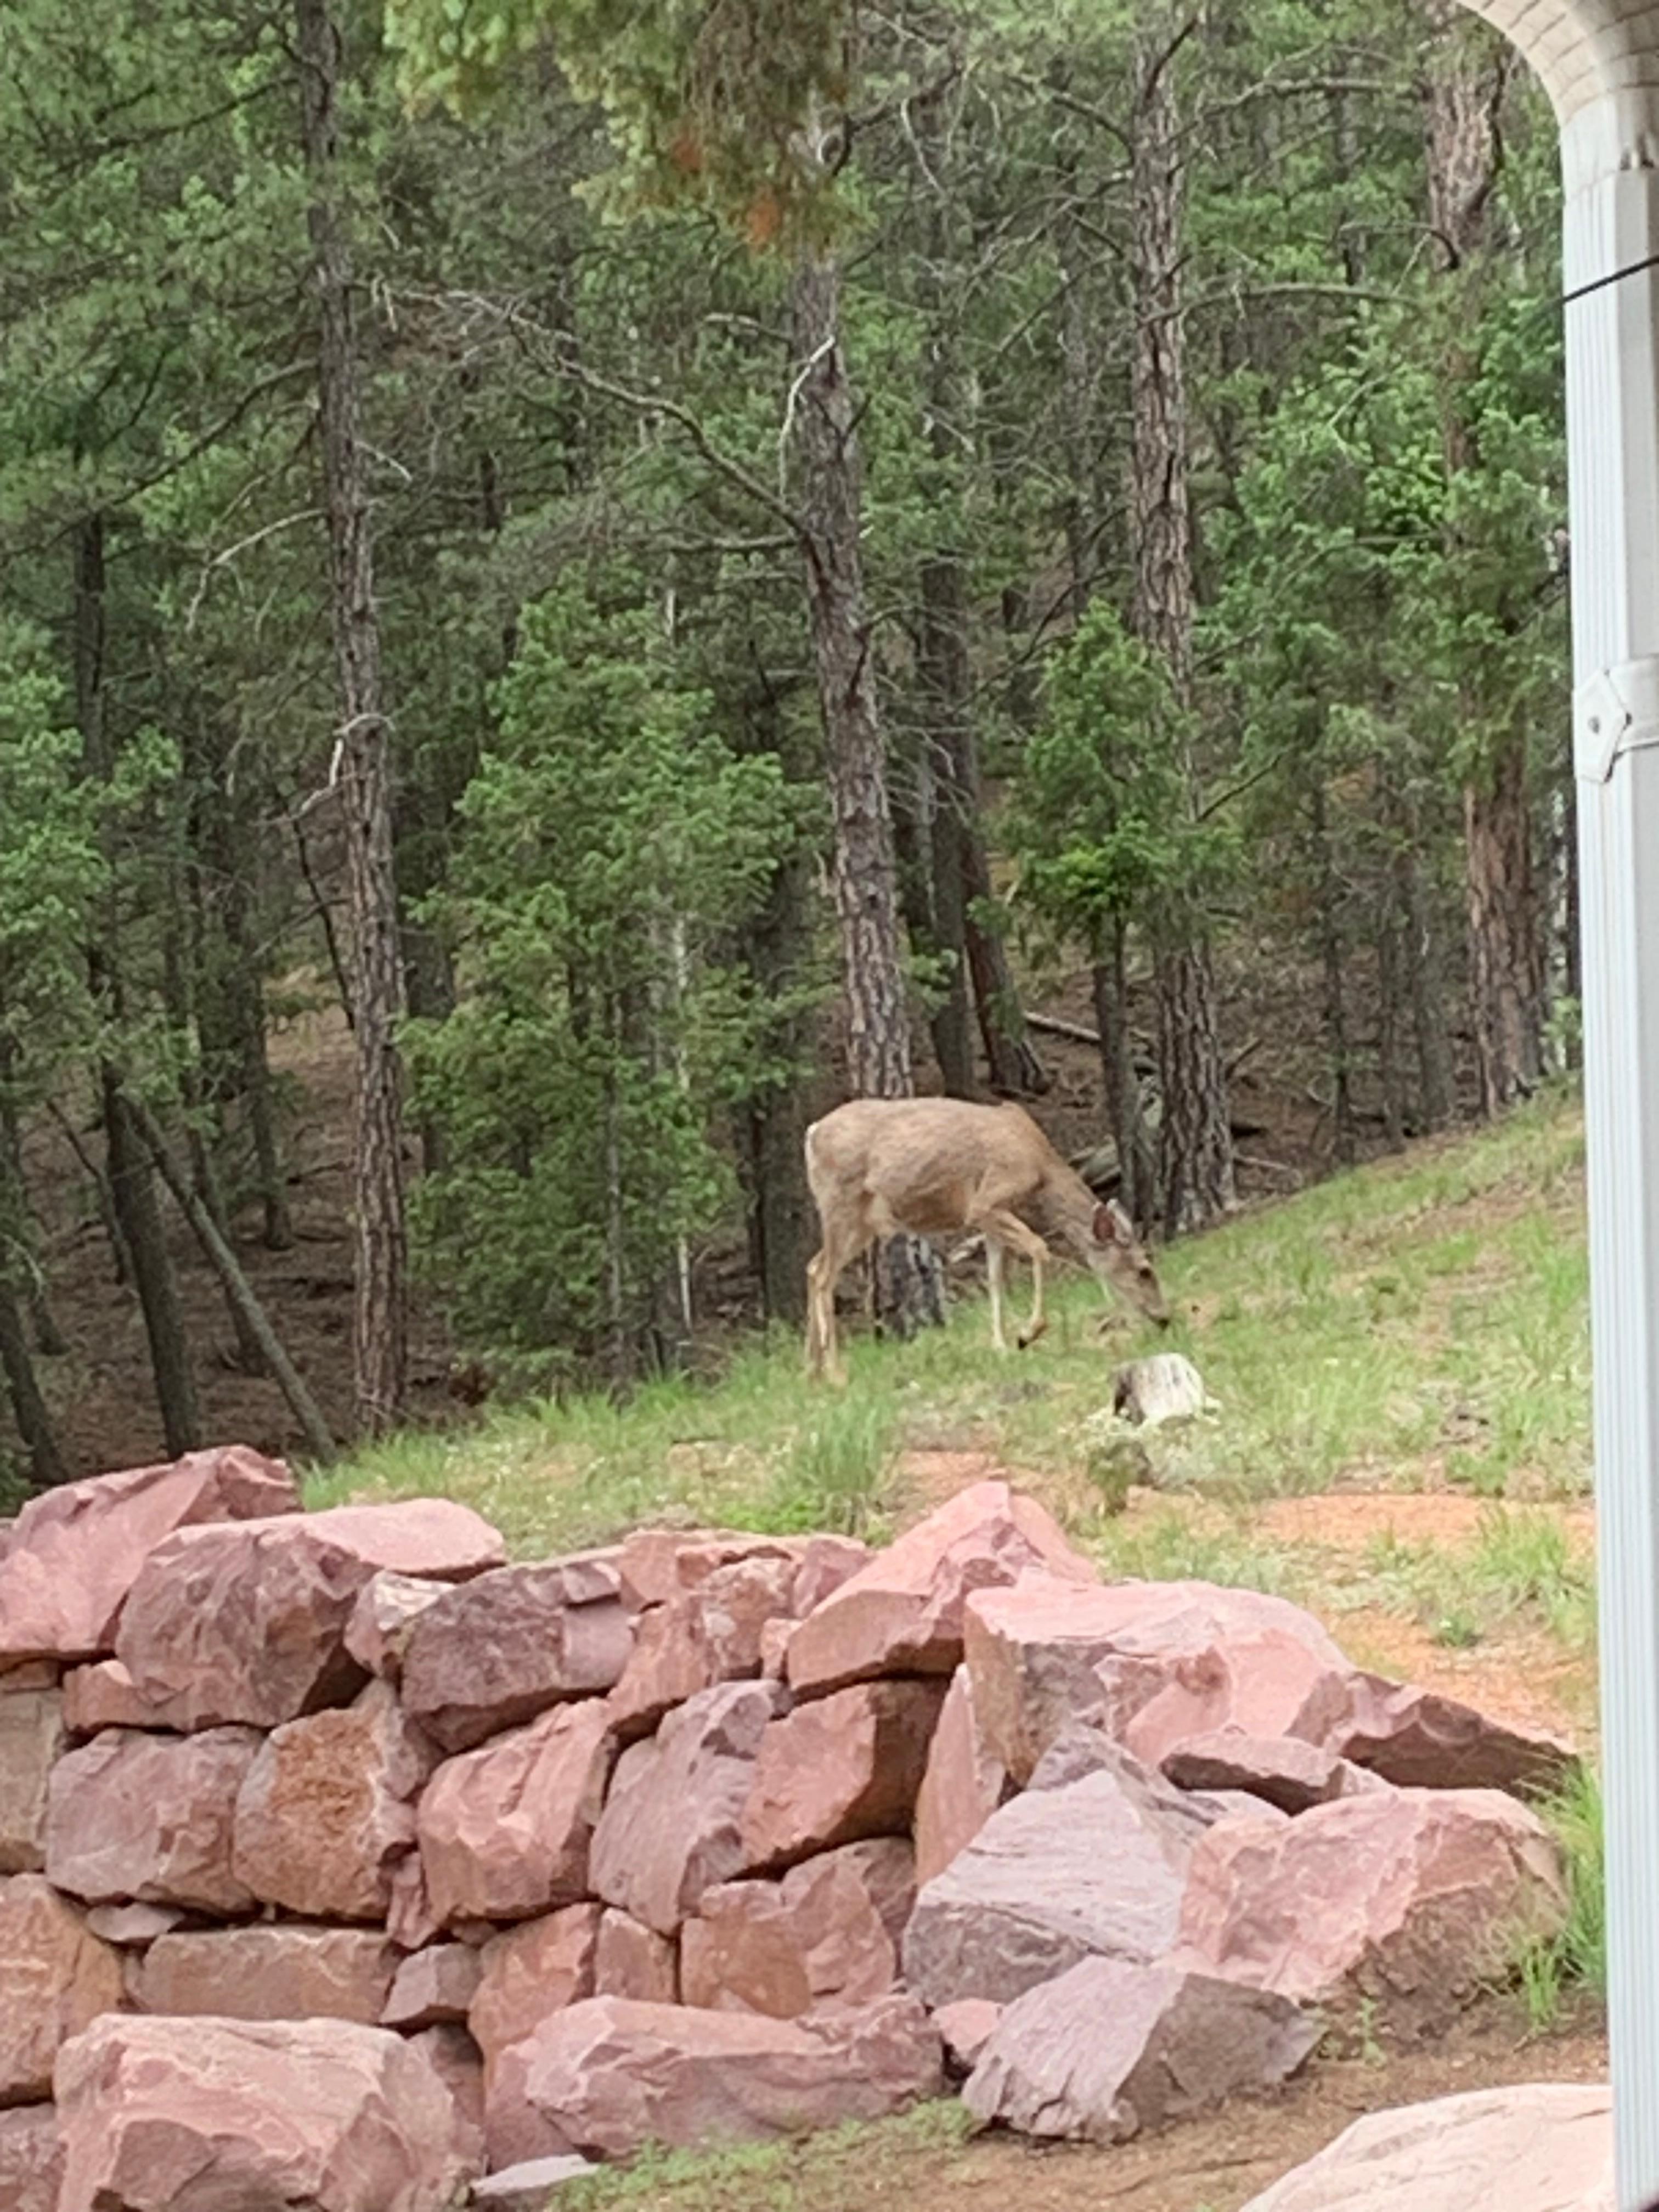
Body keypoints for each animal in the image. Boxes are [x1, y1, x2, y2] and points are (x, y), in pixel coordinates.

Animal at [803, 1097, 1171, 1384]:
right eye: (1144, 1270)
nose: (1165, 1318)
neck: (1039, 1165)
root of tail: (812, 1132)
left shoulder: (993, 1217)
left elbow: (995, 1278)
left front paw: (1001, 1346)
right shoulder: (985, 1202)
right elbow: (1039, 1248)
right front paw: (1027, 1334)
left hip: (863, 1221)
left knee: (813, 1266)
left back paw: (812, 1370)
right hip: (842, 1202)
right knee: (823, 1276)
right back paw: (835, 1372)